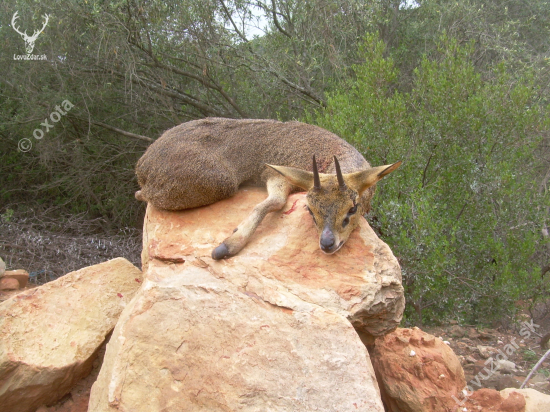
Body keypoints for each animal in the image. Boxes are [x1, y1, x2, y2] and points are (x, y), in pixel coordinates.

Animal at [134, 117, 402, 260]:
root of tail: (142, 164)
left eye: (352, 208)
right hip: (219, 183)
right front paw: (227, 245)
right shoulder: (275, 175)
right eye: (309, 209)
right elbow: (274, 203)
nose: (327, 243)